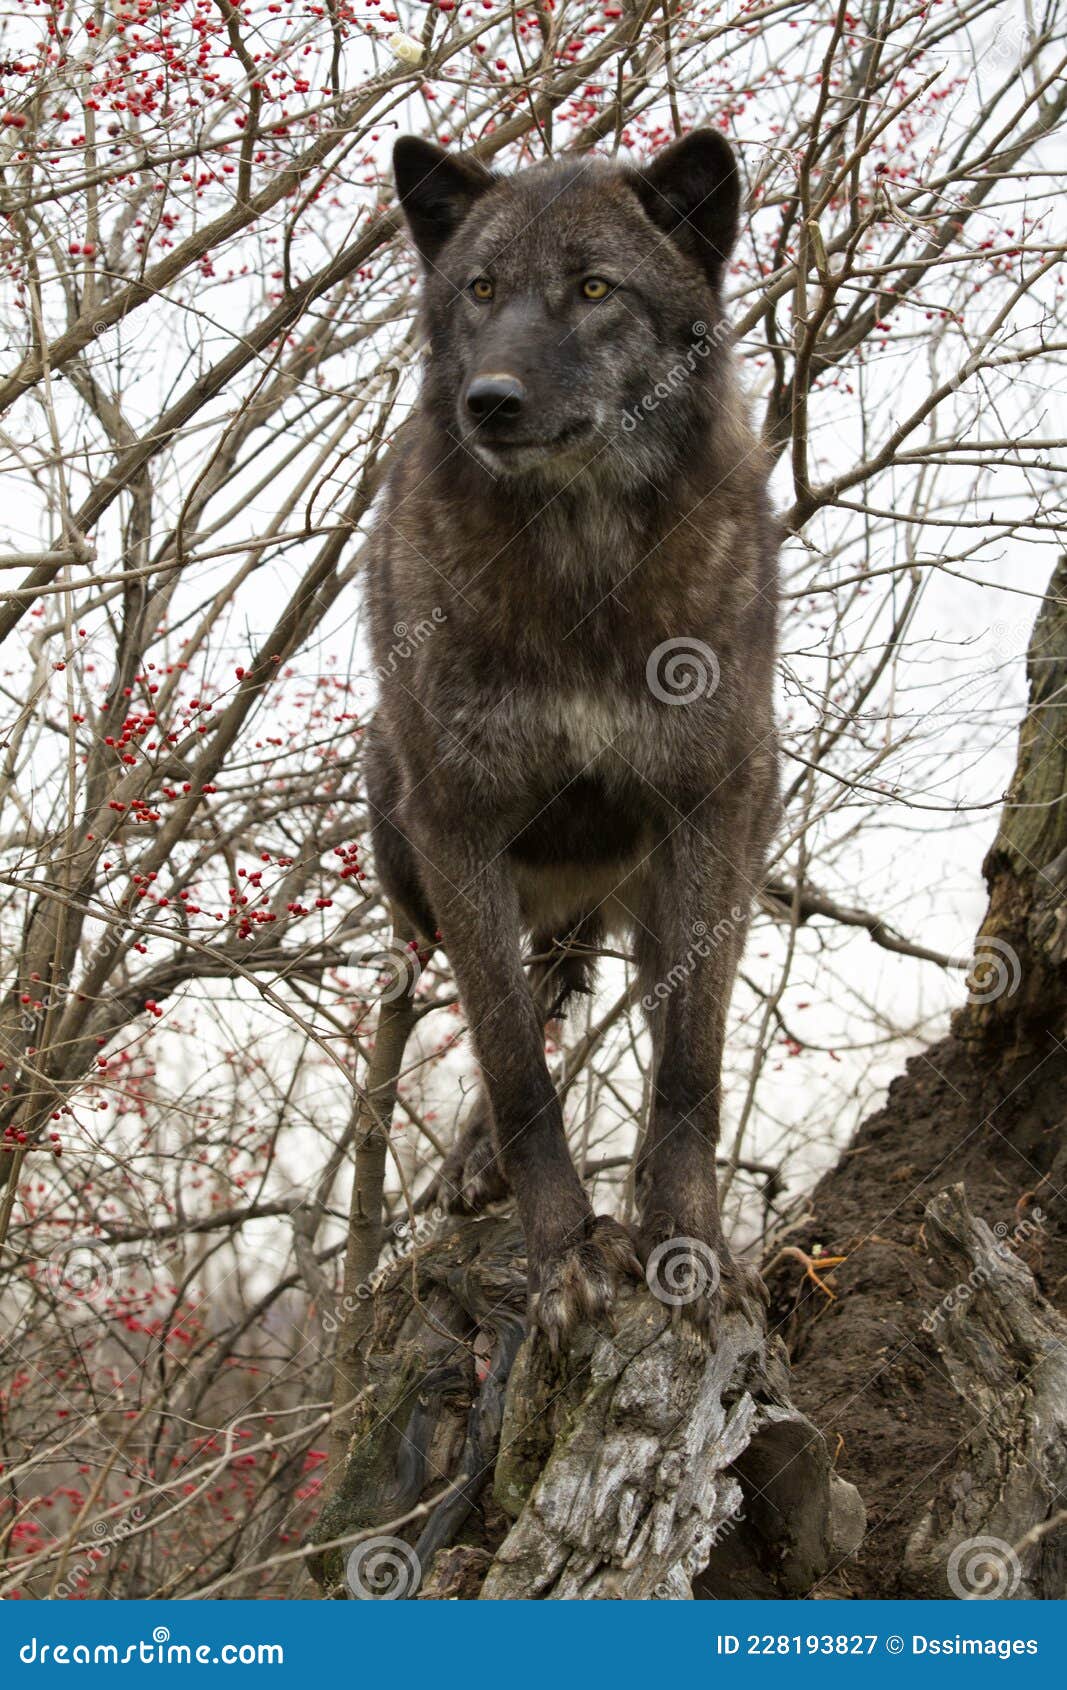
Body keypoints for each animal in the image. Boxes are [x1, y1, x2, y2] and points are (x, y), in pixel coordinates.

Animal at [365, 128, 777, 1345]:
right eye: (479, 292)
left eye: (595, 290)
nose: (489, 401)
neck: (582, 561)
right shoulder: (454, 824)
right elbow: (512, 1065)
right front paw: (563, 1259)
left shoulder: (711, 808)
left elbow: (688, 1064)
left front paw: (687, 1248)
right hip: (396, 829)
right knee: (514, 993)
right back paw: (477, 1165)